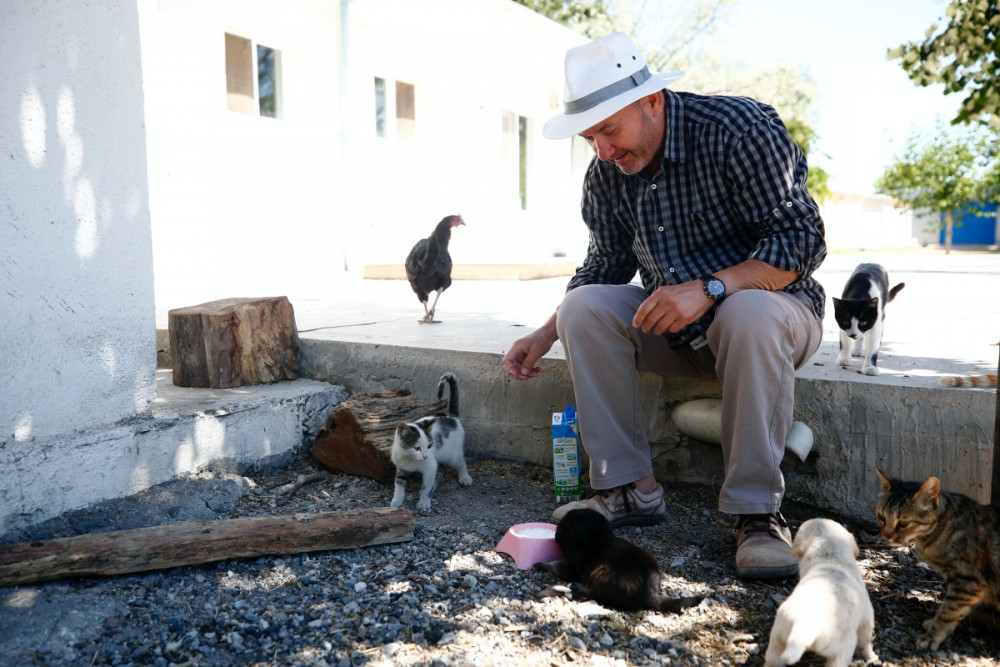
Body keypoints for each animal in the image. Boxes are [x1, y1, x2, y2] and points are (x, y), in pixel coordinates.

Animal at [388, 370, 470, 512]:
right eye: (416, 448)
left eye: (429, 446)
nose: (425, 456)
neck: (410, 459)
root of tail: (452, 419)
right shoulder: (401, 466)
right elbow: (399, 483)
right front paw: (396, 500)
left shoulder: (430, 467)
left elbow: (426, 486)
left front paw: (424, 501)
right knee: (442, 469)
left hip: (452, 455)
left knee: (460, 462)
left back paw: (465, 477)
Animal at [536, 512, 708, 616]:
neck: (597, 536)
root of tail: (648, 594)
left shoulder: (571, 566)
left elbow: (556, 565)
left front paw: (540, 564)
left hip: (602, 573)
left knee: (597, 594)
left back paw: (576, 587)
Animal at [764, 520, 876, 667]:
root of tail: (803, 624)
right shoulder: (867, 616)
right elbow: (866, 640)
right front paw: (871, 656)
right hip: (842, 647)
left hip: (779, 634)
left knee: (773, 658)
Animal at [876, 468, 1000, 648]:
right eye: (881, 517)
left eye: (903, 523)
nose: (886, 535)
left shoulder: (970, 582)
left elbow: (948, 612)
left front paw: (932, 636)